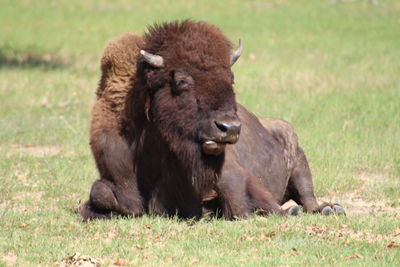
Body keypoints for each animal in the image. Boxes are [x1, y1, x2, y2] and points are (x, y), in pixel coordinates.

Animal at [80, 21, 344, 221]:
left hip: (299, 160)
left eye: (231, 78)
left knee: (307, 196)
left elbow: (242, 203)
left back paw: (329, 208)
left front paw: (286, 211)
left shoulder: (231, 173)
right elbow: (101, 193)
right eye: (181, 81)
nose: (230, 128)